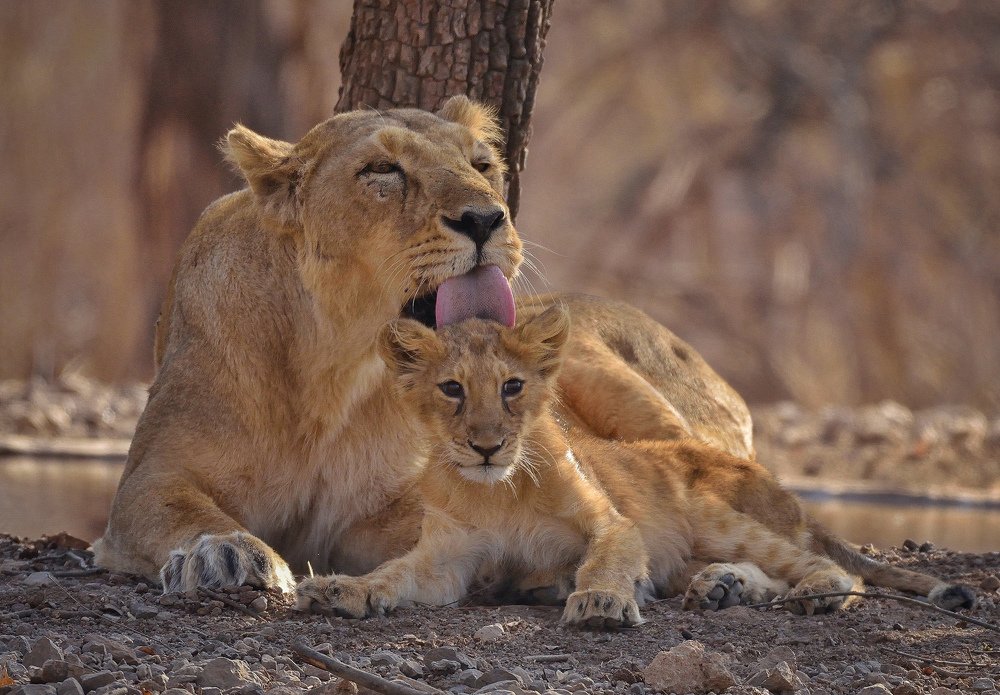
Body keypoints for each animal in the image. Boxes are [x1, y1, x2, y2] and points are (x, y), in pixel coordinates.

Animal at [93, 97, 753, 592]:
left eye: (482, 164)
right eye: (382, 171)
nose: (486, 219)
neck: (333, 368)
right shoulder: (150, 475)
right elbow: (179, 509)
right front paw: (224, 553)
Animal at [295, 311, 976, 624]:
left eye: (513, 387)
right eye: (452, 390)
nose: (487, 446)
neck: (498, 491)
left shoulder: (613, 523)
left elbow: (607, 558)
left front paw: (599, 601)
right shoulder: (448, 557)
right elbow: (395, 574)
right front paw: (343, 589)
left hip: (717, 516)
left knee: (827, 566)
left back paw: (811, 593)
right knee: (760, 572)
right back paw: (722, 588)